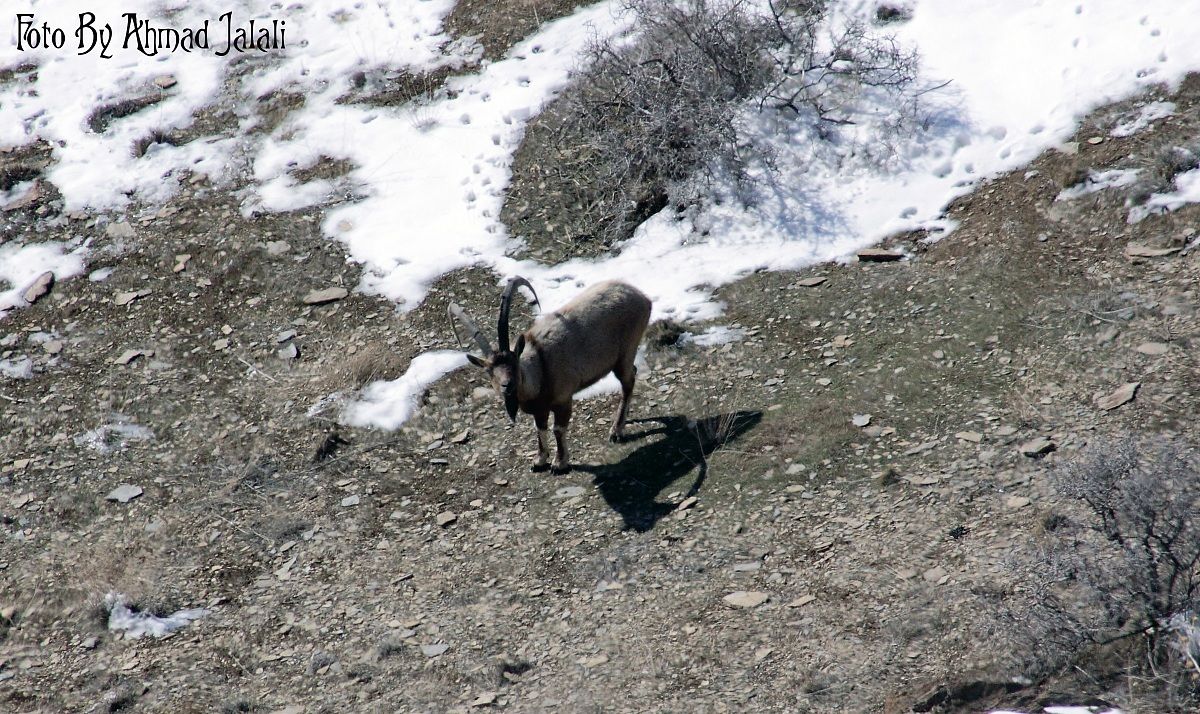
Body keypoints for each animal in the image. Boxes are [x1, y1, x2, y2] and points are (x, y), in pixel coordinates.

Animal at [449, 277, 651, 474]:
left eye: (514, 362)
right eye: (489, 370)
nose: (507, 385)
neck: (540, 369)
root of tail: (643, 298)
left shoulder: (563, 400)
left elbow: (558, 429)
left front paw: (559, 463)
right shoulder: (540, 410)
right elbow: (540, 429)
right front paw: (539, 461)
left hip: (625, 353)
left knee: (628, 382)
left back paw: (616, 432)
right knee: (632, 373)